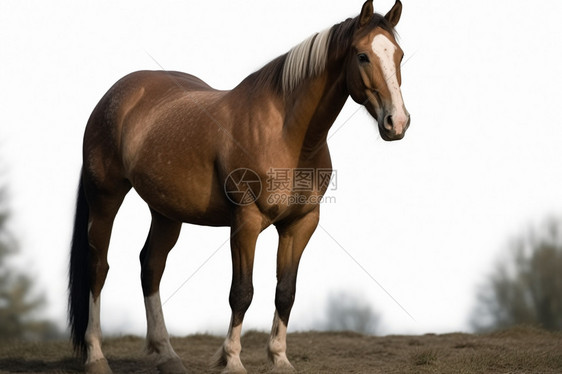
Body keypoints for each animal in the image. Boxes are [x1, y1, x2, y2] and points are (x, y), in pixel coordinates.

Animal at [70, 1, 410, 372]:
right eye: (363, 56)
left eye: (399, 55)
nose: (397, 122)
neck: (286, 133)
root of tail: (118, 93)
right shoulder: (246, 221)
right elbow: (242, 292)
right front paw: (231, 359)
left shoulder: (301, 223)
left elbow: (285, 292)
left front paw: (279, 358)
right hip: (105, 198)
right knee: (98, 267)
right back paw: (96, 356)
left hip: (166, 212)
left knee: (151, 266)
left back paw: (167, 354)